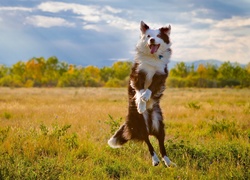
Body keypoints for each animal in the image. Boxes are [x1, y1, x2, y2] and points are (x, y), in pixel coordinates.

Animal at [108, 21, 176, 167]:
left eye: (158, 36)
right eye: (148, 36)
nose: (152, 40)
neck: (152, 58)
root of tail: (150, 127)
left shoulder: (160, 75)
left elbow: (150, 88)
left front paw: (146, 97)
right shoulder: (137, 74)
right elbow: (139, 91)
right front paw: (141, 103)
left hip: (159, 124)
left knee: (161, 145)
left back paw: (168, 162)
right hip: (140, 123)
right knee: (148, 142)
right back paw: (155, 160)